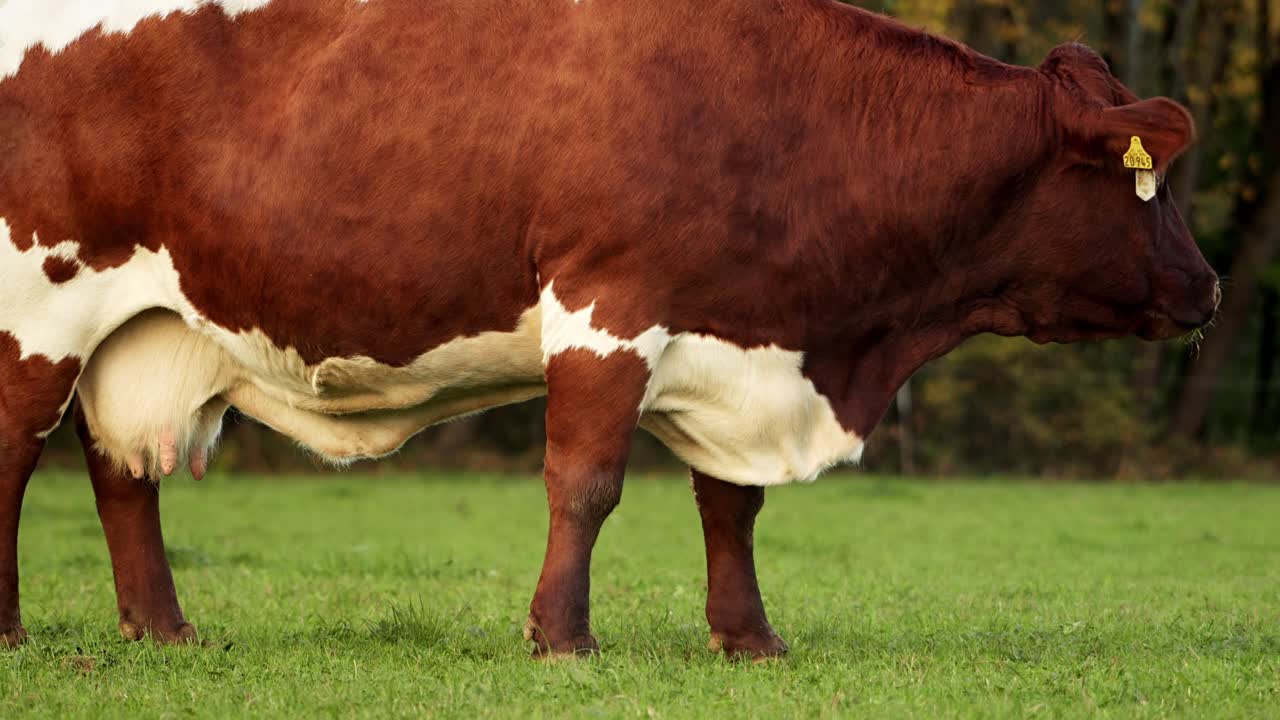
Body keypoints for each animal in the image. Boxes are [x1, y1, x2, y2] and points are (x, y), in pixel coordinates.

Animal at [0, 0, 1218, 660]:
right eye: (1148, 187)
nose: (1207, 288)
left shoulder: (737, 330)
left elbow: (731, 504)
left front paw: (747, 639)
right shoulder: (607, 308)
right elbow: (584, 483)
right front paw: (563, 637)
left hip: (141, 326)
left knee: (122, 472)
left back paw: (162, 628)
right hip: (38, 310)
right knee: (16, 457)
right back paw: (13, 628)